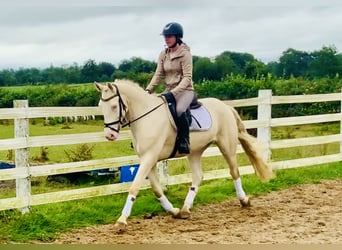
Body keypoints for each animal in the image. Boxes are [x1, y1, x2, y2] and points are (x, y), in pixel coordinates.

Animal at [94, 79, 276, 230]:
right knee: (198, 176)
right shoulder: (148, 160)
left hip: (227, 146)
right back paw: (185, 209)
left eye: (114, 106)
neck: (146, 117)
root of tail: (226, 106)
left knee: (234, 171)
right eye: (101, 106)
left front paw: (122, 220)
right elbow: (156, 189)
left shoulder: (149, 157)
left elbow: (134, 187)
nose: (109, 135)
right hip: (195, 152)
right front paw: (173, 211)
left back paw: (244, 200)